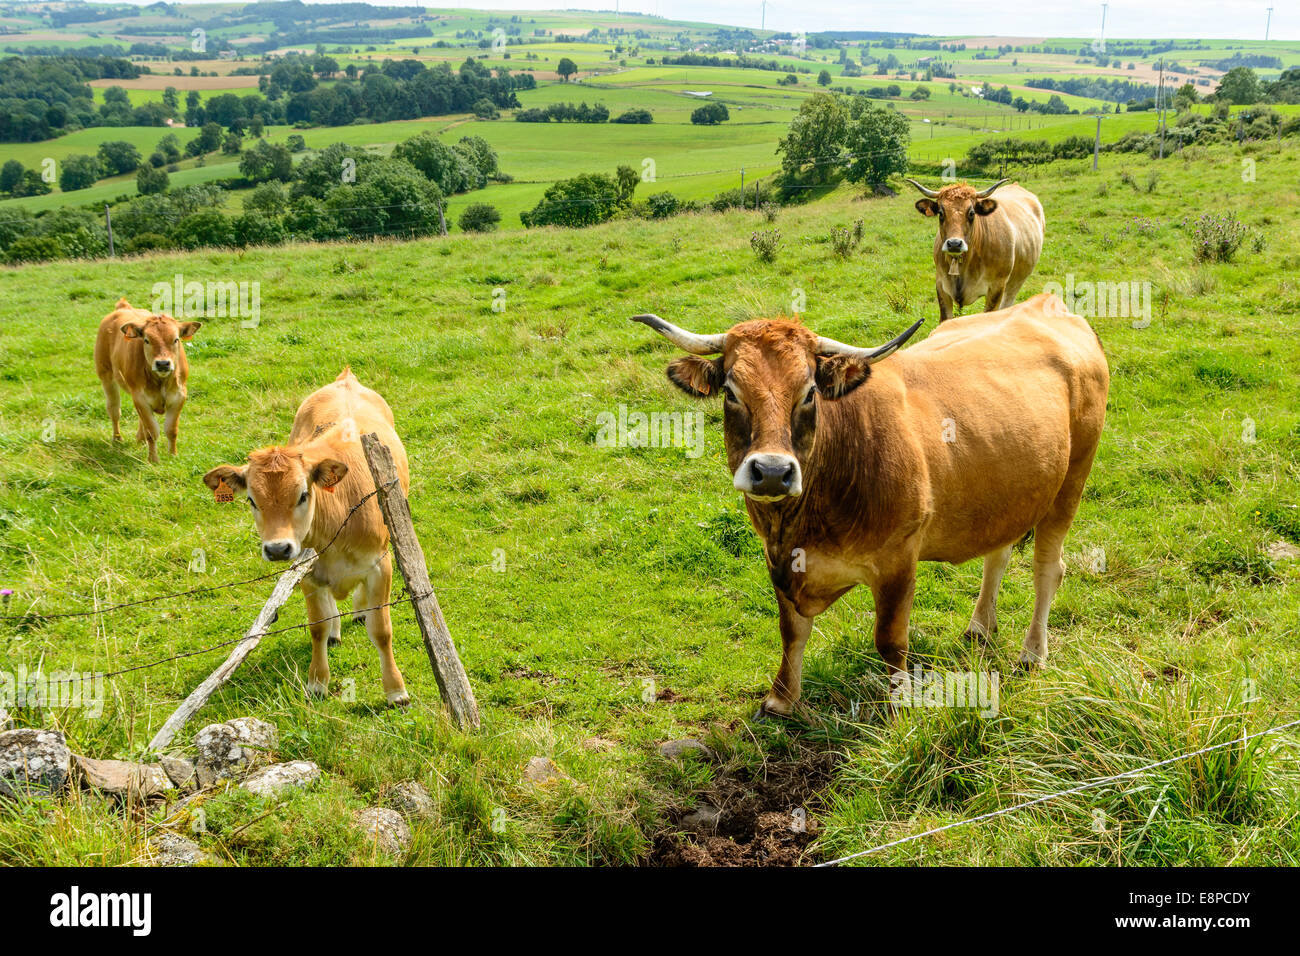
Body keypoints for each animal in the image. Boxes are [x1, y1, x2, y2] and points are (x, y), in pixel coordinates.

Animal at [92, 297, 200, 465]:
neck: (161, 381)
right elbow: (152, 431)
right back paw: (117, 439)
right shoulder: (140, 398)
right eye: (147, 340)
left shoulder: (179, 396)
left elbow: (171, 430)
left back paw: (139, 438)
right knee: (114, 409)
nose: (163, 363)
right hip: (106, 375)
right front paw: (153, 460)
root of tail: (123, 308)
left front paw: (172, 456)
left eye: (176, 339)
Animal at [202, 369, 408, 707]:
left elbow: (381, 630)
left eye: (302, 494)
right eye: (252, 501)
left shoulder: (381, 564)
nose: (277, 549)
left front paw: (395, 691)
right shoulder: (307, 572)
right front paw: (317, 683)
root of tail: (345, 379)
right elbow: (317, 628)